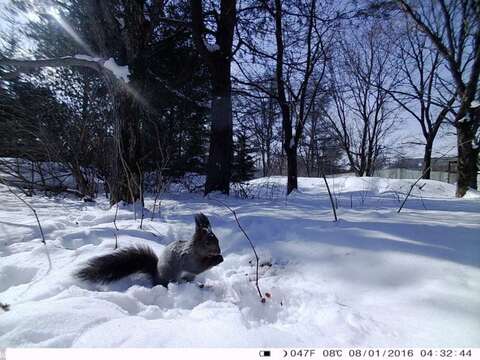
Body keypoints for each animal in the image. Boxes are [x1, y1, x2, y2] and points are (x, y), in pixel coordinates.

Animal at [74, 214, 224, 286]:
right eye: (207, 243)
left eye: (217, 240)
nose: (218, 251)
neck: (196, 251)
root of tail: (157, 275)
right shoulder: (187, 258)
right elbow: (197, 267)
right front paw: (217, 259)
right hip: (170, 276)